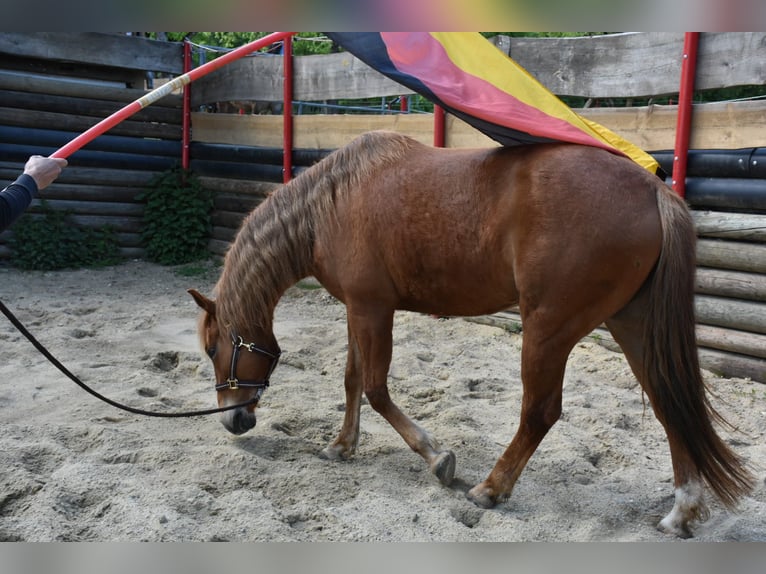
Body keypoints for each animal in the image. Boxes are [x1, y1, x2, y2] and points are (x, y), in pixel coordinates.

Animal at [189, 130, 753, 538]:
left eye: (215, 347)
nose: (234, 420)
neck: (331, 204)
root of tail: (655, 190)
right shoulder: (356, 308)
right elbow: (351, 381)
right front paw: (341, 446)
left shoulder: (372, 309)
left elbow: (375, 389)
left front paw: (438, 458)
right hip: (631, 325)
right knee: (668, 405)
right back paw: (681, 511)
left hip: (548, 328)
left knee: (540, 413)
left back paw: (490, 489)